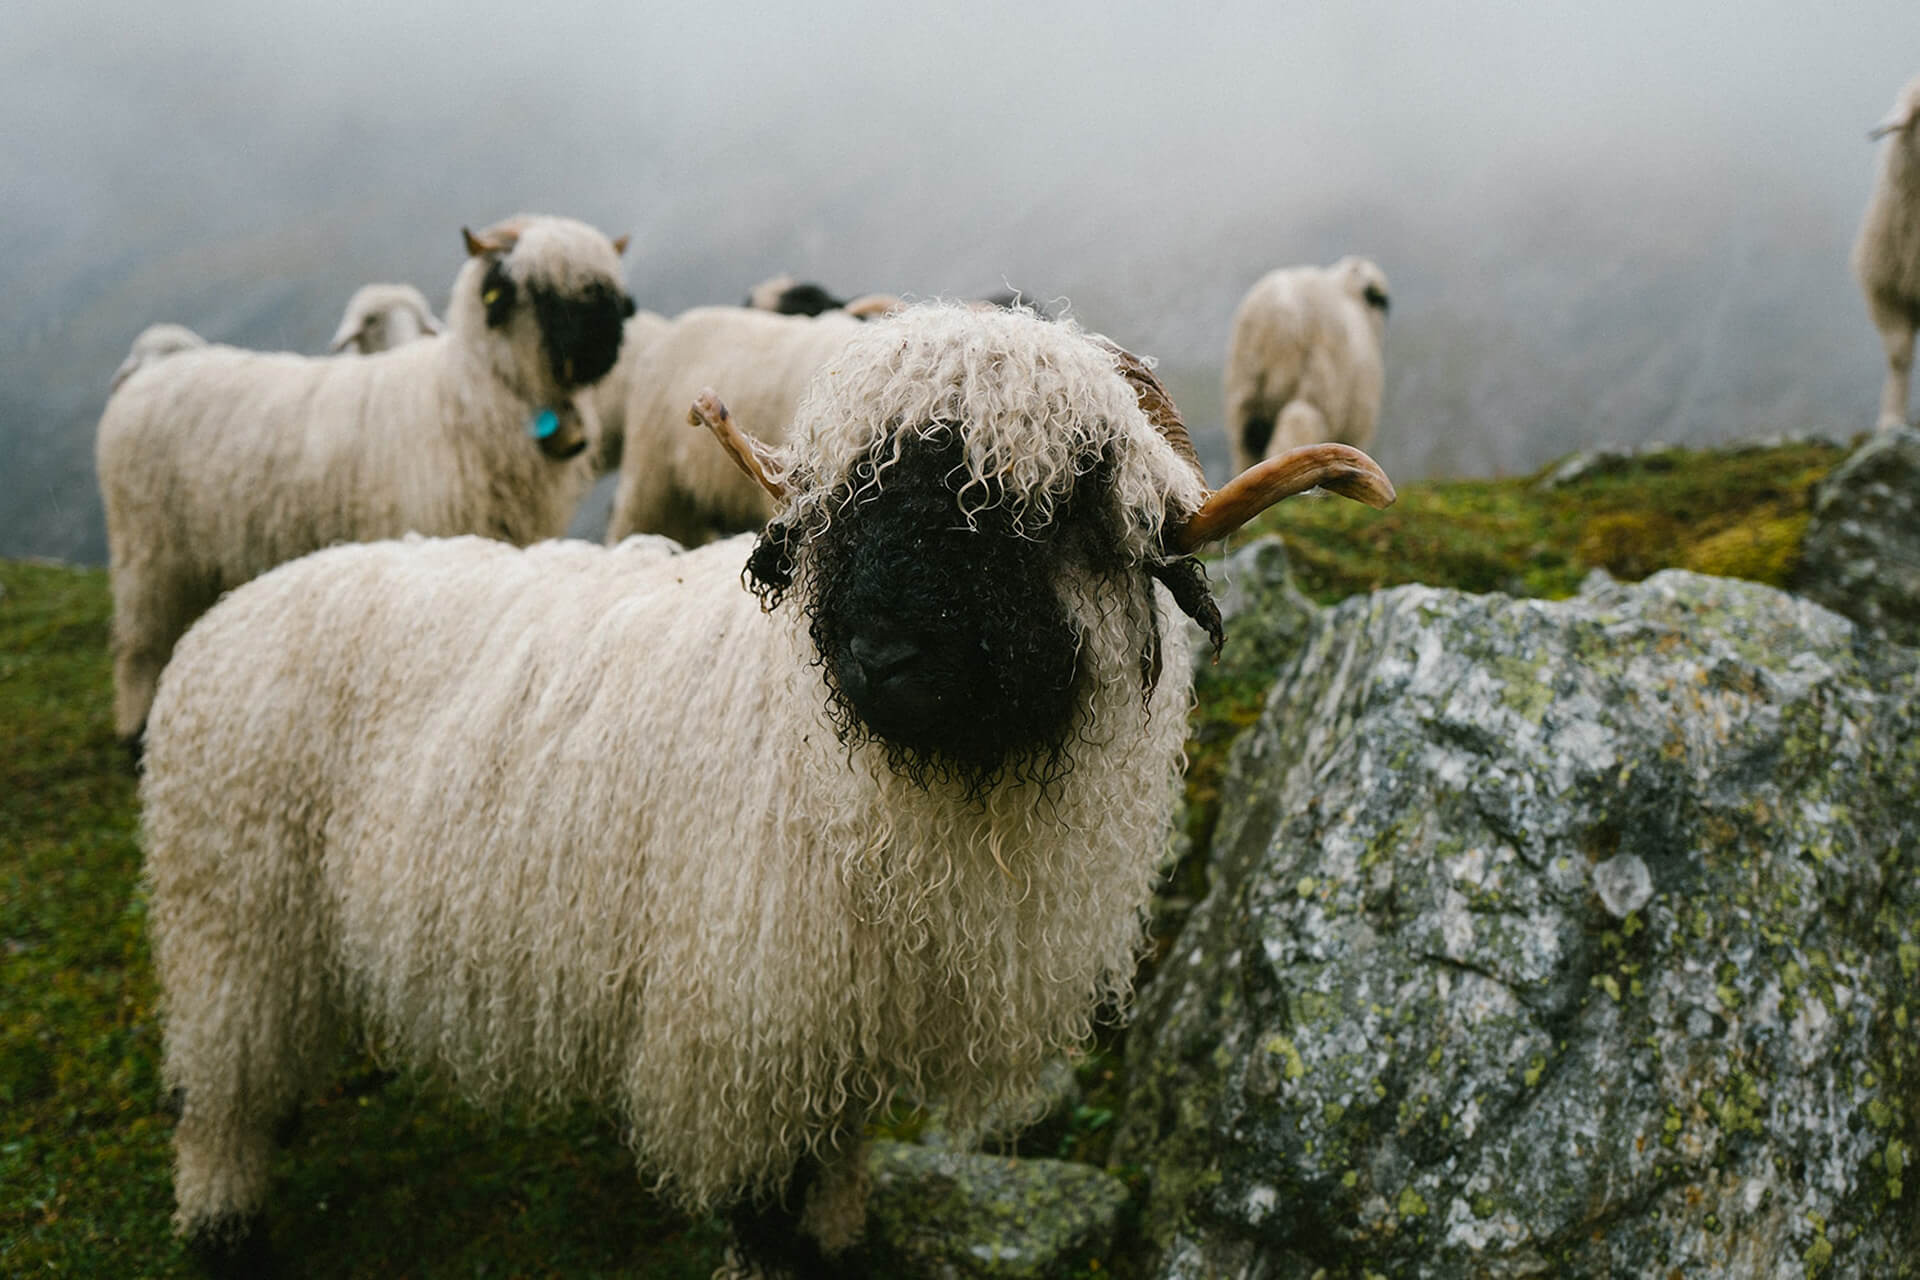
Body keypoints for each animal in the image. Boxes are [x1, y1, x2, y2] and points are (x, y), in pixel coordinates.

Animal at [97, 213, 633, 744]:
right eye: (541, 289)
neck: (465, 394)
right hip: (148, 553)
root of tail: (149, 375)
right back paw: (134, 727)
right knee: (137, 646)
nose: (609, 344)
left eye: (606, 285)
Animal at [1221, 253, 1390, 474]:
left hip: (1244, 396)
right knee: (1295, 430)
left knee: (1246, 448)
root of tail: (1279, 313)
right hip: (1315, 391)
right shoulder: (1358, 425)